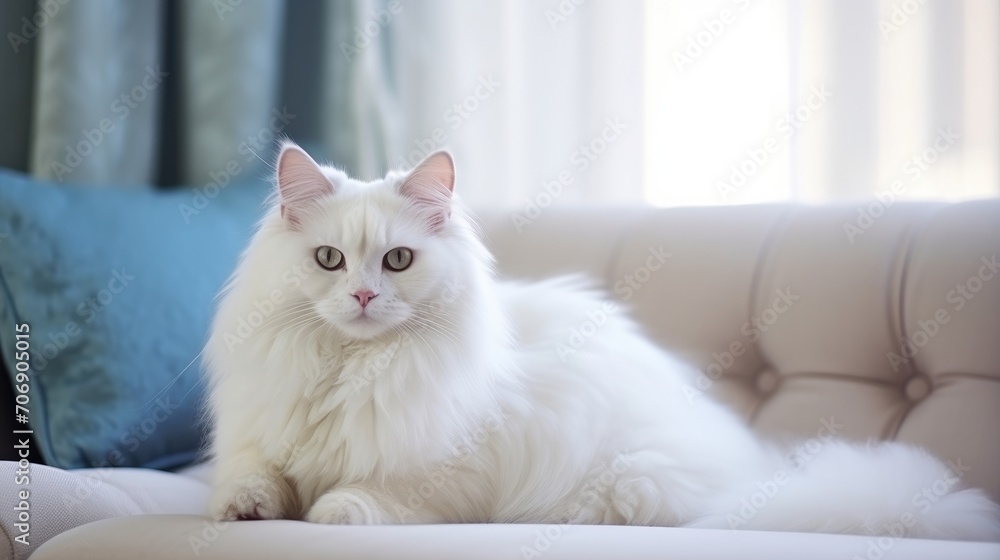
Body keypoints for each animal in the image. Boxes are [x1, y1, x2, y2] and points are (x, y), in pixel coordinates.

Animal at [205, 142, 1000, 540]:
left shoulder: (453, 471)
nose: (365, 297)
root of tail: (755, 475)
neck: (349, 367)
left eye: (397, 261)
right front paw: (243, 510)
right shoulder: (258, 436)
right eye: (329, 260)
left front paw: (329, 510)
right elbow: (250, 478)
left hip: (625, 481)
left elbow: (375, 493)